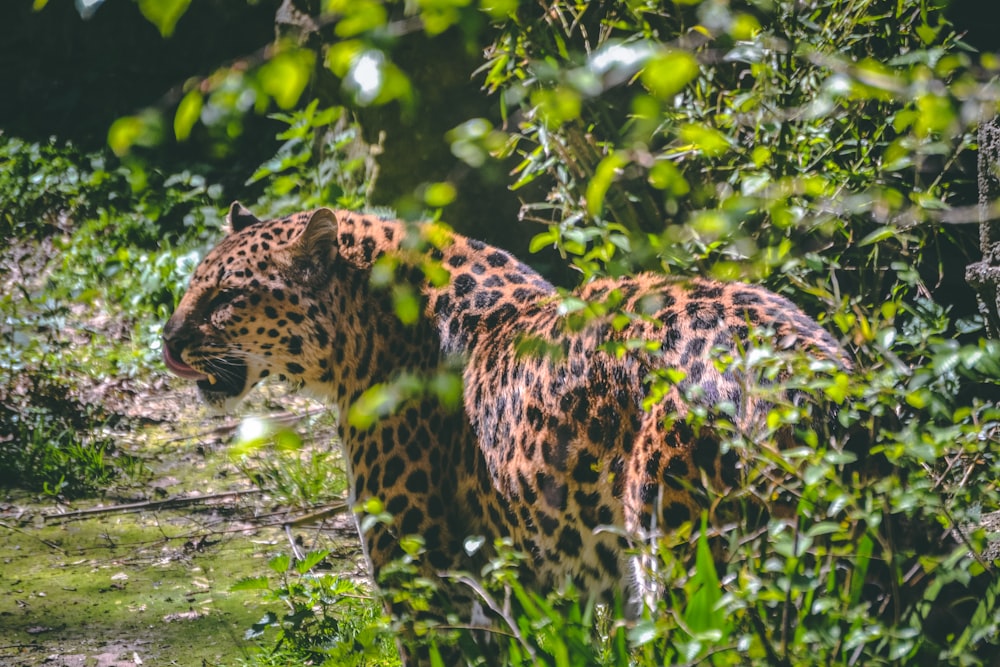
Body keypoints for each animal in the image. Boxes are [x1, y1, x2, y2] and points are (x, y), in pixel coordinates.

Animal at [162, 201, 844, 664]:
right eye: (194, 284)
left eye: (225, 296)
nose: (165, 341)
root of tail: (803, 379)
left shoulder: (422, 583)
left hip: (685, 569)